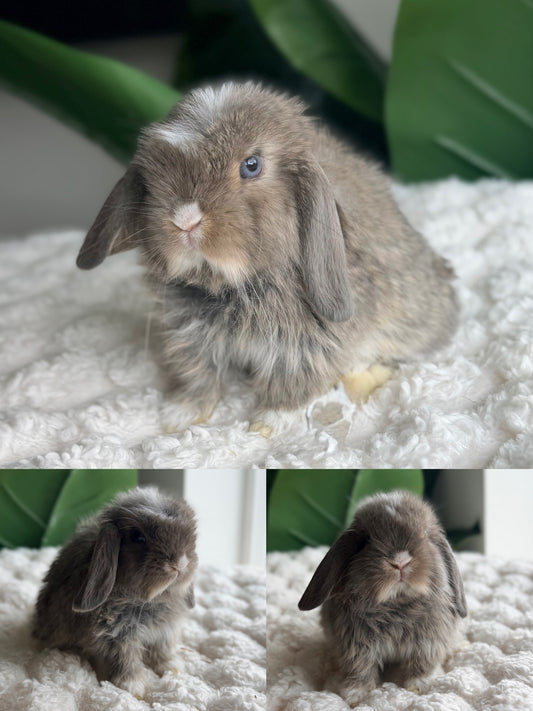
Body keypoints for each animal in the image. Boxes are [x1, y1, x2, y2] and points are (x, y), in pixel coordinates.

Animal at [32, 487, 198, 697]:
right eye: (137, 536)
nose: (180, 564)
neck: (148, 600)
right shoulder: (115, 637)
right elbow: (124, 660)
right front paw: (133, 687)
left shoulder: (165, 631)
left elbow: (163, 650)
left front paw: (172, 668)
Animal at [76, 80, 457, 435]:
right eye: (153, 175)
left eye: (251, 165)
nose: (184, 220)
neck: (230, 287)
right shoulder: (190, 336)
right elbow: (198, 375)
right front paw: (180, 415)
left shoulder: (308, 346)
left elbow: (293, 383)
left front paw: (268, 424)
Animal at [298, 491, 467, 707]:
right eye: (365, 541)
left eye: (425, 535)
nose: (400, 562)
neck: (396, 604)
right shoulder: (356, 649)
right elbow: (360, 670)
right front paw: (354, 696)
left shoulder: (429, 643)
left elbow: (422, 665)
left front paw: (418, 686)